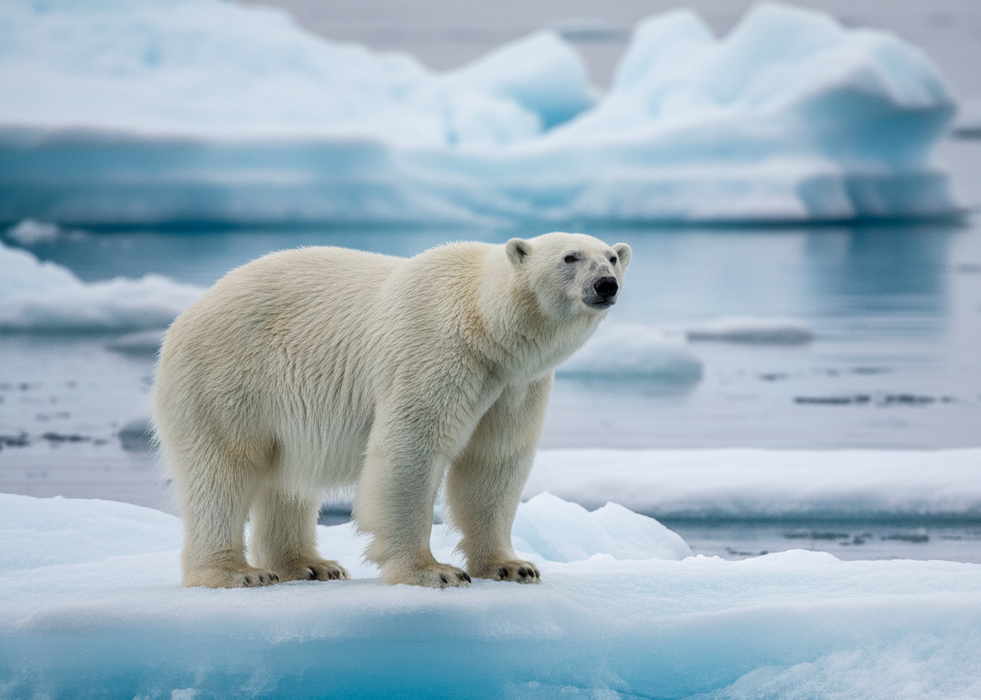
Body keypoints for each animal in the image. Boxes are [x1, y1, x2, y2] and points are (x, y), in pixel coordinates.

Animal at [152, 232, 631, 589]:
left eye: (611, 257)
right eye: (570, 256)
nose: (606, 284)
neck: (484, 323)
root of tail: (187, 315)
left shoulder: (515, 385)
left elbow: (493, 460)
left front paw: (513, 566)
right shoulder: (436, 352)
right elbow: (411, 448)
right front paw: (432, 571)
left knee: (286, 479)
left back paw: (311, 565)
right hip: (227, 377)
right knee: (223, 469)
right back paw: (236, 572)